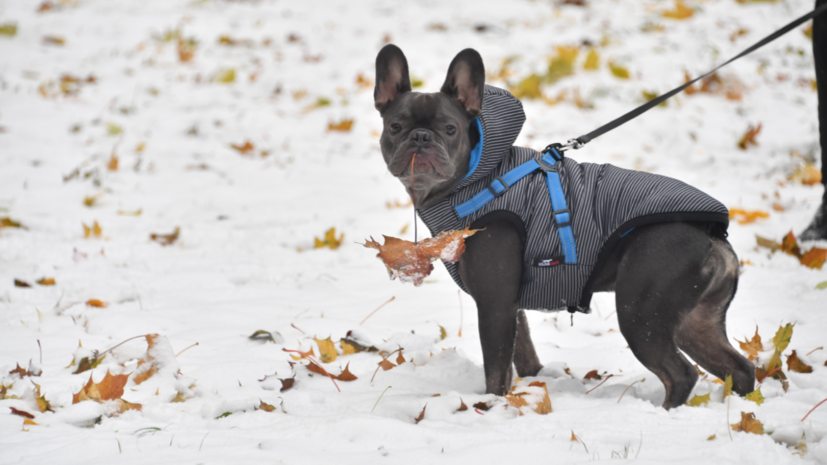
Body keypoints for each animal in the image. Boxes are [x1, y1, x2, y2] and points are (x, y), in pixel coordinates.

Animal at [376, 43, 756, 406]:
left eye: (450, 129)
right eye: (394, 127)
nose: (421, 137)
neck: (476, 178)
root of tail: (710, 236)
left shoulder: (494, 304)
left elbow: (496, 369)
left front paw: (490, 406)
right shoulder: (511, 306)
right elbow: (523, 354)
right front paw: (529, 388)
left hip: (640, 312)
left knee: (680, 374)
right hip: (695, 321)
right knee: (738, 368)